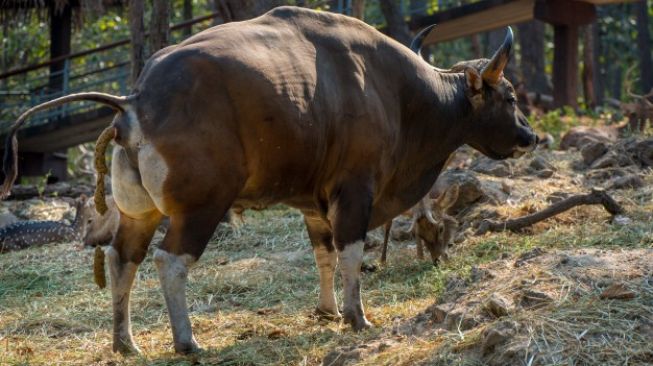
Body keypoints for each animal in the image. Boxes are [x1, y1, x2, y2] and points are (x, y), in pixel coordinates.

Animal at [2, 6, 536, 354]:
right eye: (509, 95)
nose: (529, 136)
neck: (398, 93)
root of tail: (134, 101)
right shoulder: (355, 189)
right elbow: (351, 253)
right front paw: (356, 316)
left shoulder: (313, 201)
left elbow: (323, 254)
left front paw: (327, 311)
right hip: (200, 206)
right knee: (169, 261)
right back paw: (186, 341)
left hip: (140, 209)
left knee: (121, 258)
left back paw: (124, 342)